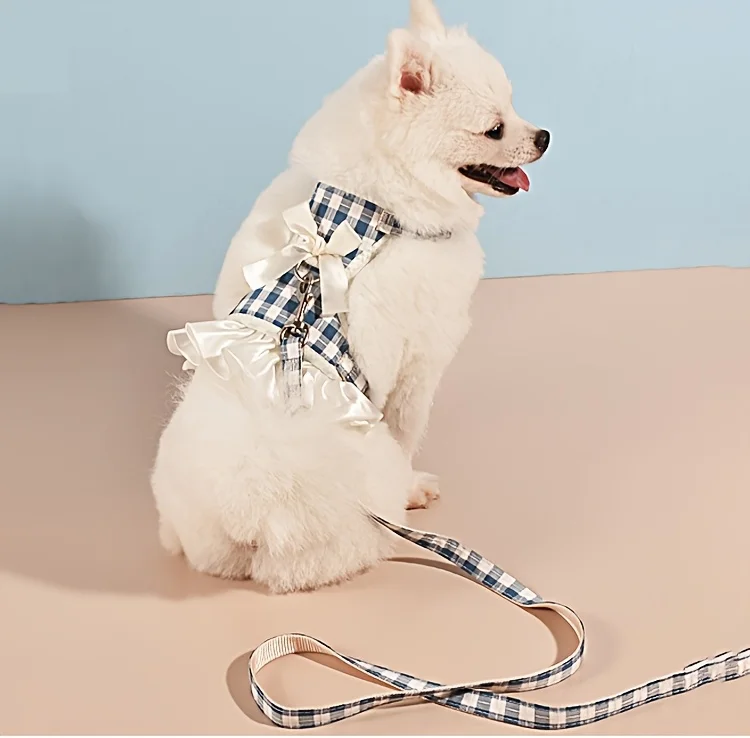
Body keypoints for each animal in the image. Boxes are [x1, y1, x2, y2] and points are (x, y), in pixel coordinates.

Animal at [151, 0, 549, 593]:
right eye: (493, 129)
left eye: (514, 104)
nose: (545, 136)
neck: (367, 210)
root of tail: (251, 512)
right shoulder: (418, 362)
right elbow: (407, 430)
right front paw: (415, 485)